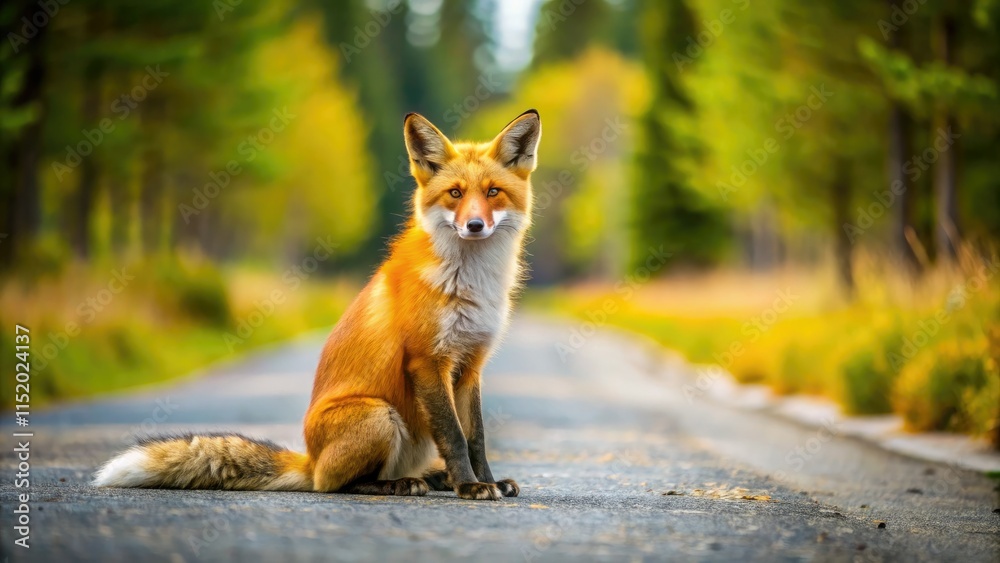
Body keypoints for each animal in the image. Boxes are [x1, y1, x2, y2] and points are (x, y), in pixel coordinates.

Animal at [93, 109, 541, 501]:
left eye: (493, 192)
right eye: (454, 194)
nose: (475, 225)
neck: (469, 283)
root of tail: (309, 458)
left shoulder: (470, 364)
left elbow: (476, 437)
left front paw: (487, 481)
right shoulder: (428, 361)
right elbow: (454, 436)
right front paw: (469, 487)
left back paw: (433, 479)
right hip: (379, 415)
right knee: (336, 484)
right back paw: (400, 484)